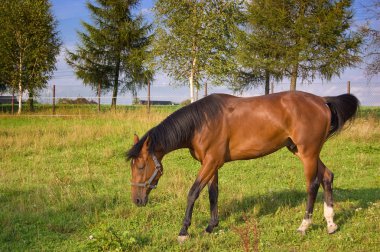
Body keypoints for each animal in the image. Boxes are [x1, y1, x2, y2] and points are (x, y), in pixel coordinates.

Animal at [127, 91, 360, 242]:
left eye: (141, 166)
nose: (137, 200)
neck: (202, 122)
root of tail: (322, 101)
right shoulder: (212, 164)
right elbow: (213, 194)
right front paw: (211, 226)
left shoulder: (210, 163)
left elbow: (193, 192)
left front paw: (184, 231)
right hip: (303, 151)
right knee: (327, 176)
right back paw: (331, 223)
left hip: (308, 153)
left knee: (312, 185)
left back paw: (304, 226)